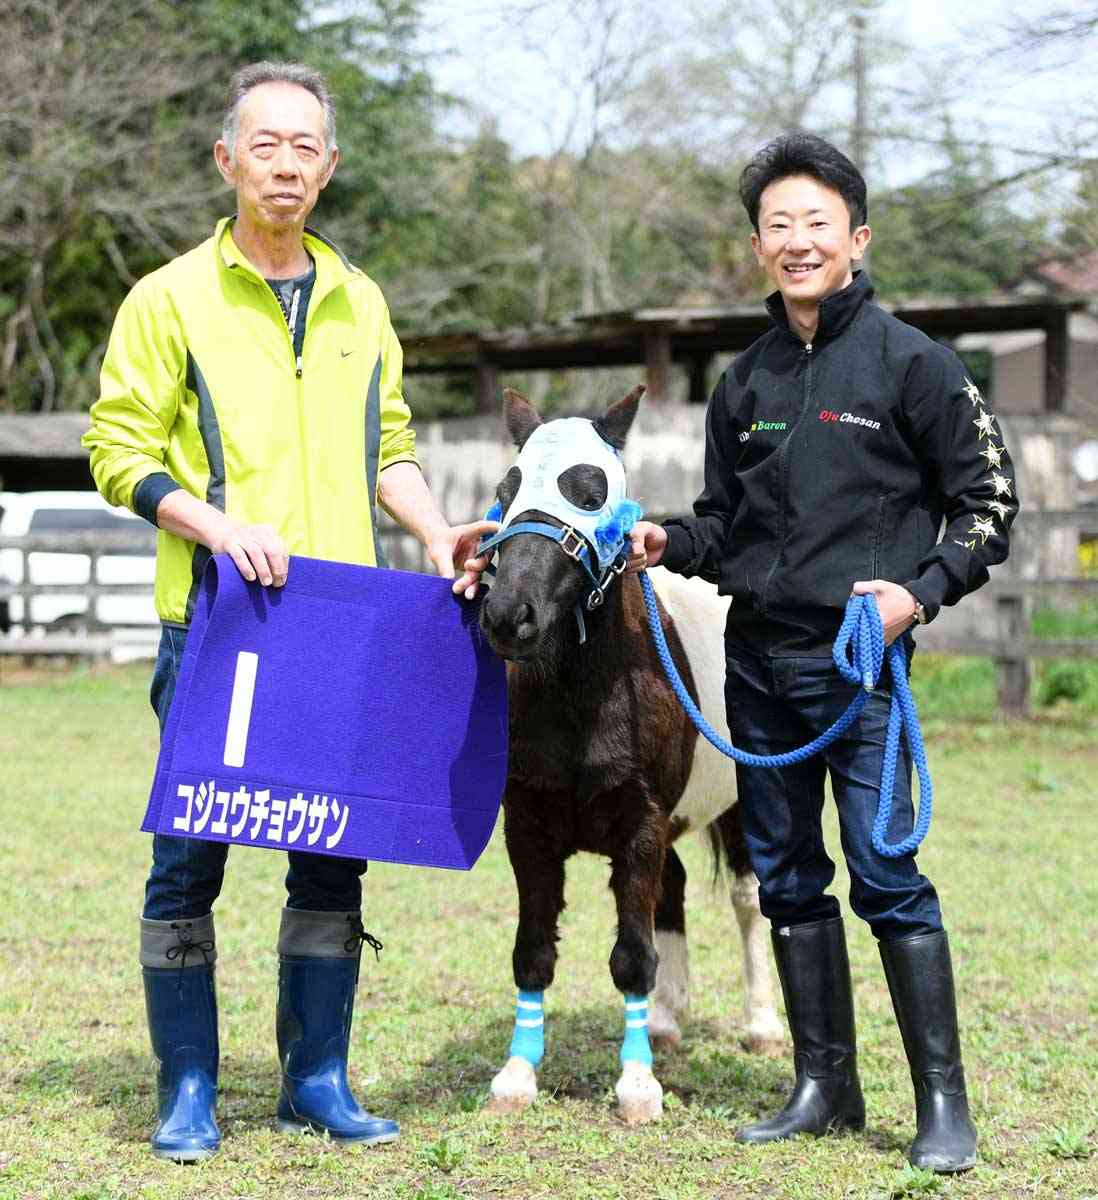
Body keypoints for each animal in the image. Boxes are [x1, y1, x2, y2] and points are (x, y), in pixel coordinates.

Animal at [476, 385, 784, 1124]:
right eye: (507, 490)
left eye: (591, 492)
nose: (508, 616)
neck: (586, 695)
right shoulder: (528, 828)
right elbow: (533, 952)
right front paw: (516, 1075)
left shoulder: (641, 826)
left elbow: (632, 958)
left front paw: (637, 1087)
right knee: (673, 889)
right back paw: (667, 1021)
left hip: (740, 805)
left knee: (748, 900)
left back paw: (762, 1026)